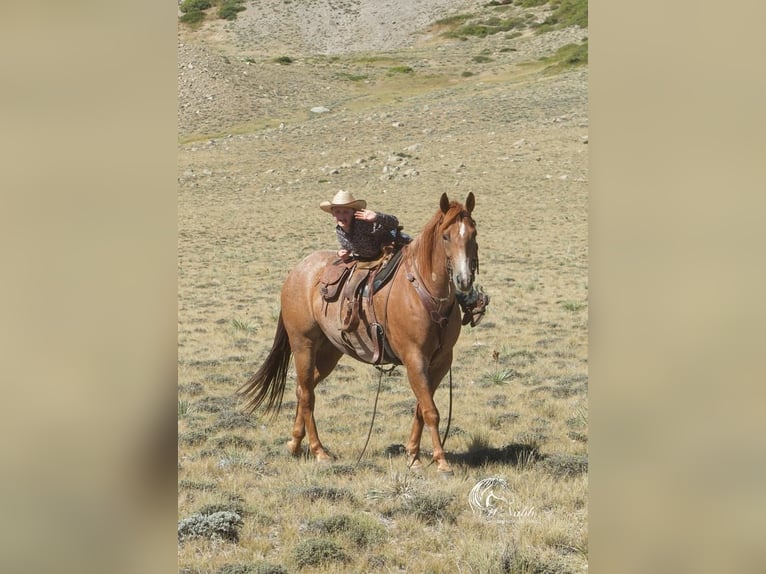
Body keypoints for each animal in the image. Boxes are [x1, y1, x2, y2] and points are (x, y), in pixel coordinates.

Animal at [237, 191, 484, 474]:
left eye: (473, 233)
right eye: (445, 236)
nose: (464, 280)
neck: (425, 291)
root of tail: (296, 272)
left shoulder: (441, 361)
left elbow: (421, 408)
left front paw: (413, 455)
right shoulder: (414, 358)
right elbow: (431, 410)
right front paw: (441, 461)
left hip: (330, 351)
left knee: (302, 388)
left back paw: (295, 444)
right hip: (303, 344)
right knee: (308, 394)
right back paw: (319, 451)